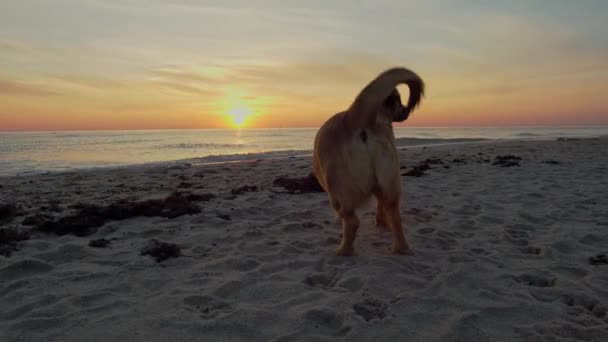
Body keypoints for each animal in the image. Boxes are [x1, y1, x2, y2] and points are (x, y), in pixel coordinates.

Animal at [312, 67, 426, 255]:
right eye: (397, 101)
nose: (406, 111)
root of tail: (355, 117)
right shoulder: (380, 186)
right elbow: (381, 205)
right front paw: (381, 222)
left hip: (337, 190)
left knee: (351, 221)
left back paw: (343, 250)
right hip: (390, 183)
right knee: (394, 215)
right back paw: (400, 247)